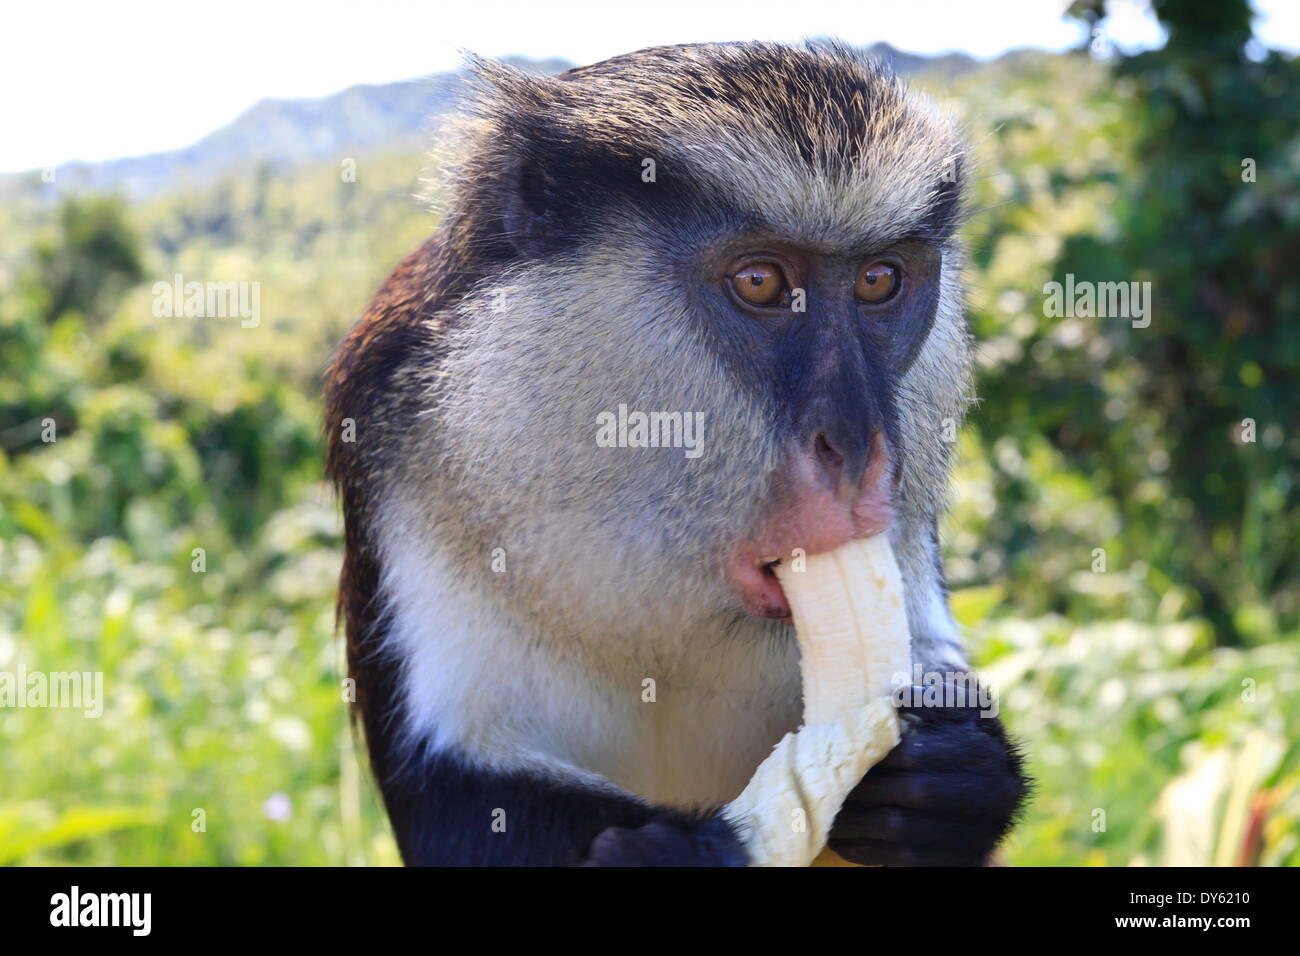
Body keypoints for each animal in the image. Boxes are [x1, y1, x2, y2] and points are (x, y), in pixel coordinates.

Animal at [330, 39, 1029, 868]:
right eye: (760, 282)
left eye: (879, 279)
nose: (858, 445)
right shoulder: (396, 450)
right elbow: (456, 806)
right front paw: (678, 851)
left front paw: (960, 778)